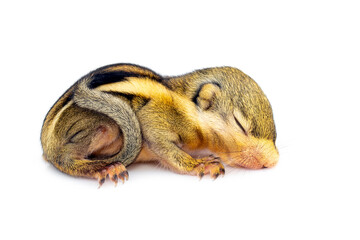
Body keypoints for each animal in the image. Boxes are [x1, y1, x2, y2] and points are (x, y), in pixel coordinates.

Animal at [41, 63, 278, 186]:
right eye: (239, 124)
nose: (273, 161)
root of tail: (47, 143)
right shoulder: (154, 121)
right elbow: (163, 147)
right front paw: (200, 164)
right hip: (104, 126)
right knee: (64, 160)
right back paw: (103, 167)